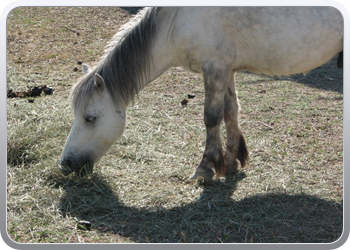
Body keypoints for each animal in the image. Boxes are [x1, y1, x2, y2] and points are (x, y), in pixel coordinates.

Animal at [59, 6, 342, 179]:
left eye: (90, 118)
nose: (65, 163)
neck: (177, 21)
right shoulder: (226, 69)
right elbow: (231, 112)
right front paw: (231, 161)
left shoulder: (214, 68)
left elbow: (212, 117)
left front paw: (206, 167)